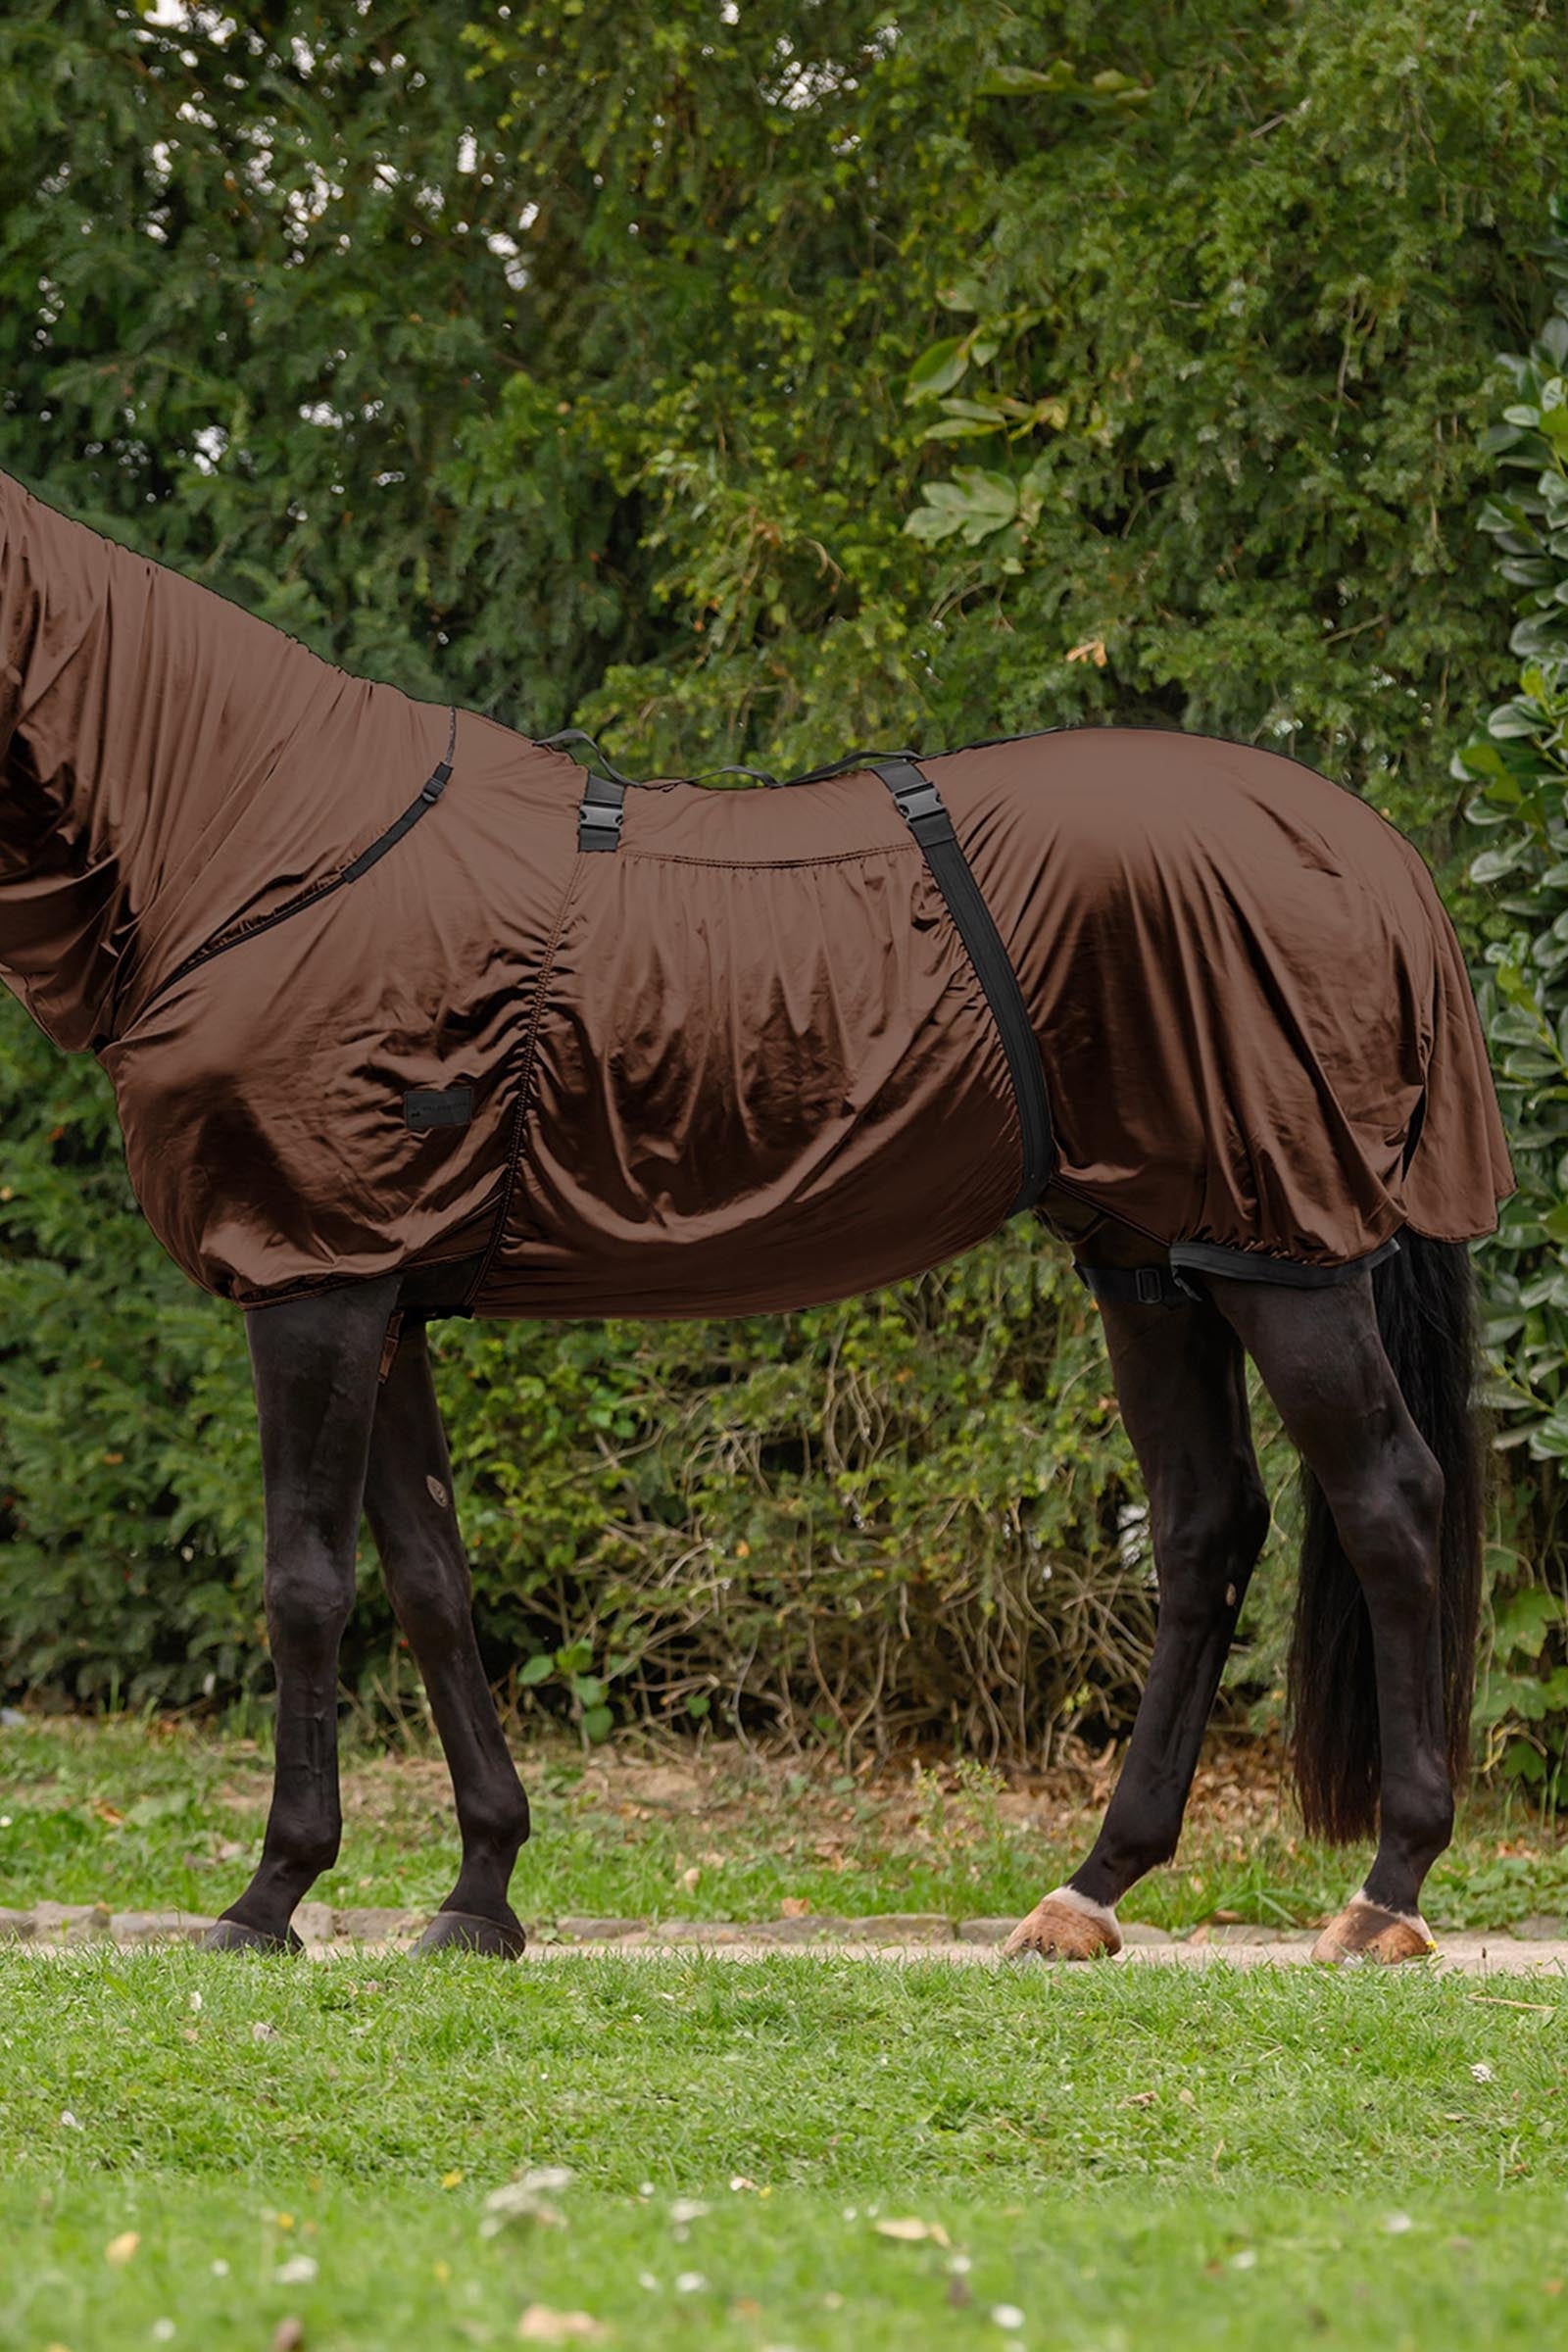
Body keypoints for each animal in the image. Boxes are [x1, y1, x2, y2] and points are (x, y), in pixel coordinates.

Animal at [0, 463, 1514, 1964]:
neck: (269, 839)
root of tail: (1368, 847)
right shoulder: (376, 1288)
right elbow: (430, 1580)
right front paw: (479, 1892)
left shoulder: (312, 1284)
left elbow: (305, 1581)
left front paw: (269, 1898)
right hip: (1151, 1259)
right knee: (1207, 1528)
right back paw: (1091, 1889)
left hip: (1278, 1252)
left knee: (1387, 1500)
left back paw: (1385, 1890)